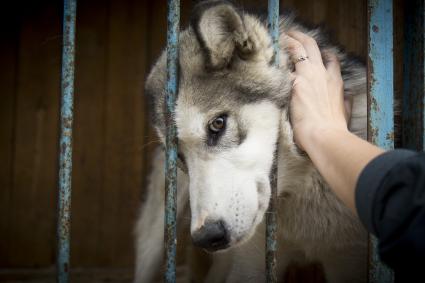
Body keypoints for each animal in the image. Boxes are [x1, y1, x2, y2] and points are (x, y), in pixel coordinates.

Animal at [134, 1, 366, 282]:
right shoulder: (249, 264)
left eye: (218, 124)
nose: (207, 237)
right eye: (179, 157)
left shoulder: (349, 258)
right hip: (156, 239)